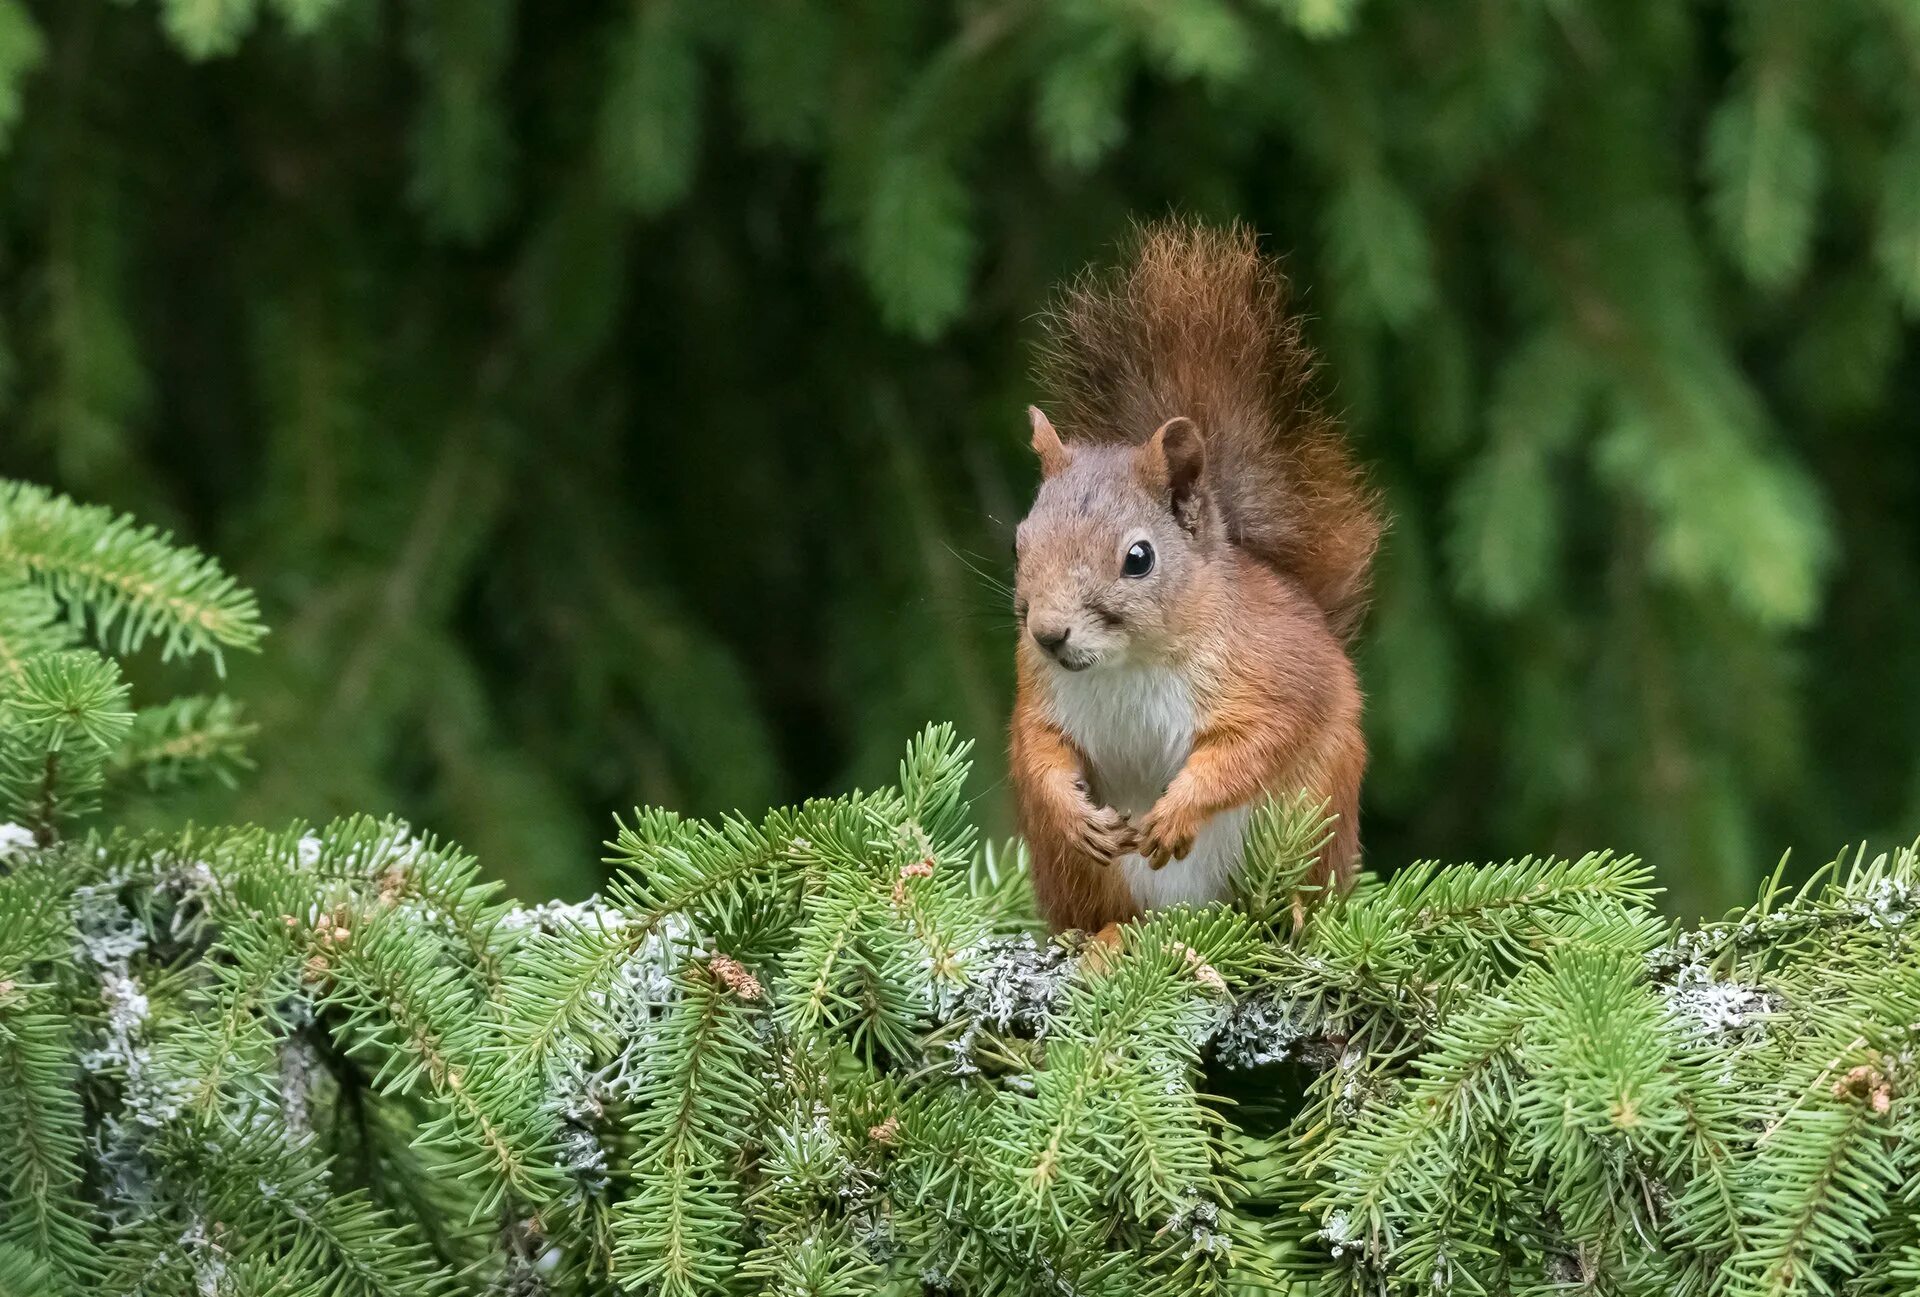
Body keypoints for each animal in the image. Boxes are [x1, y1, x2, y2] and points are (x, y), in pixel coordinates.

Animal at [1006, 222, 1382, 932]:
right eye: (1019, 542)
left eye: (1139, 558)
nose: (1047, 634)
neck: (1127, 665)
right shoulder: (1036, 691)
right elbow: (1037, 749)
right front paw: (1071, 811)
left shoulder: (1271, 672)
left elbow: (1254, 742)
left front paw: (1180, 810)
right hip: (1085, 880)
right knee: (1110, 916)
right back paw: (1108, 940)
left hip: (1315, 817)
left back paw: (1289, 916)